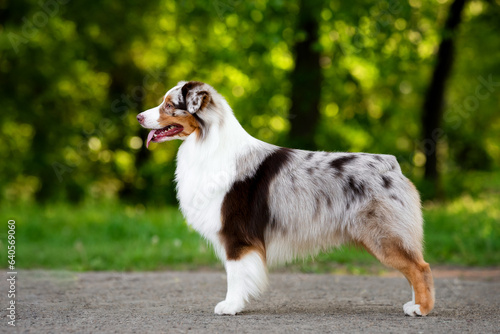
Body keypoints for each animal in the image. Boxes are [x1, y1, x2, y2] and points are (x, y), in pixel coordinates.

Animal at [136, 80, 434, 316]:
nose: (138, 117)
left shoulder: (237, 234)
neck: (207, 143)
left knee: (421, 268)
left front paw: (230, 306)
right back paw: (414, 304)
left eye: (169, 105)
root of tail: (391, 165)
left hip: (383, 235)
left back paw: (421, 309)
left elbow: (235, 274)